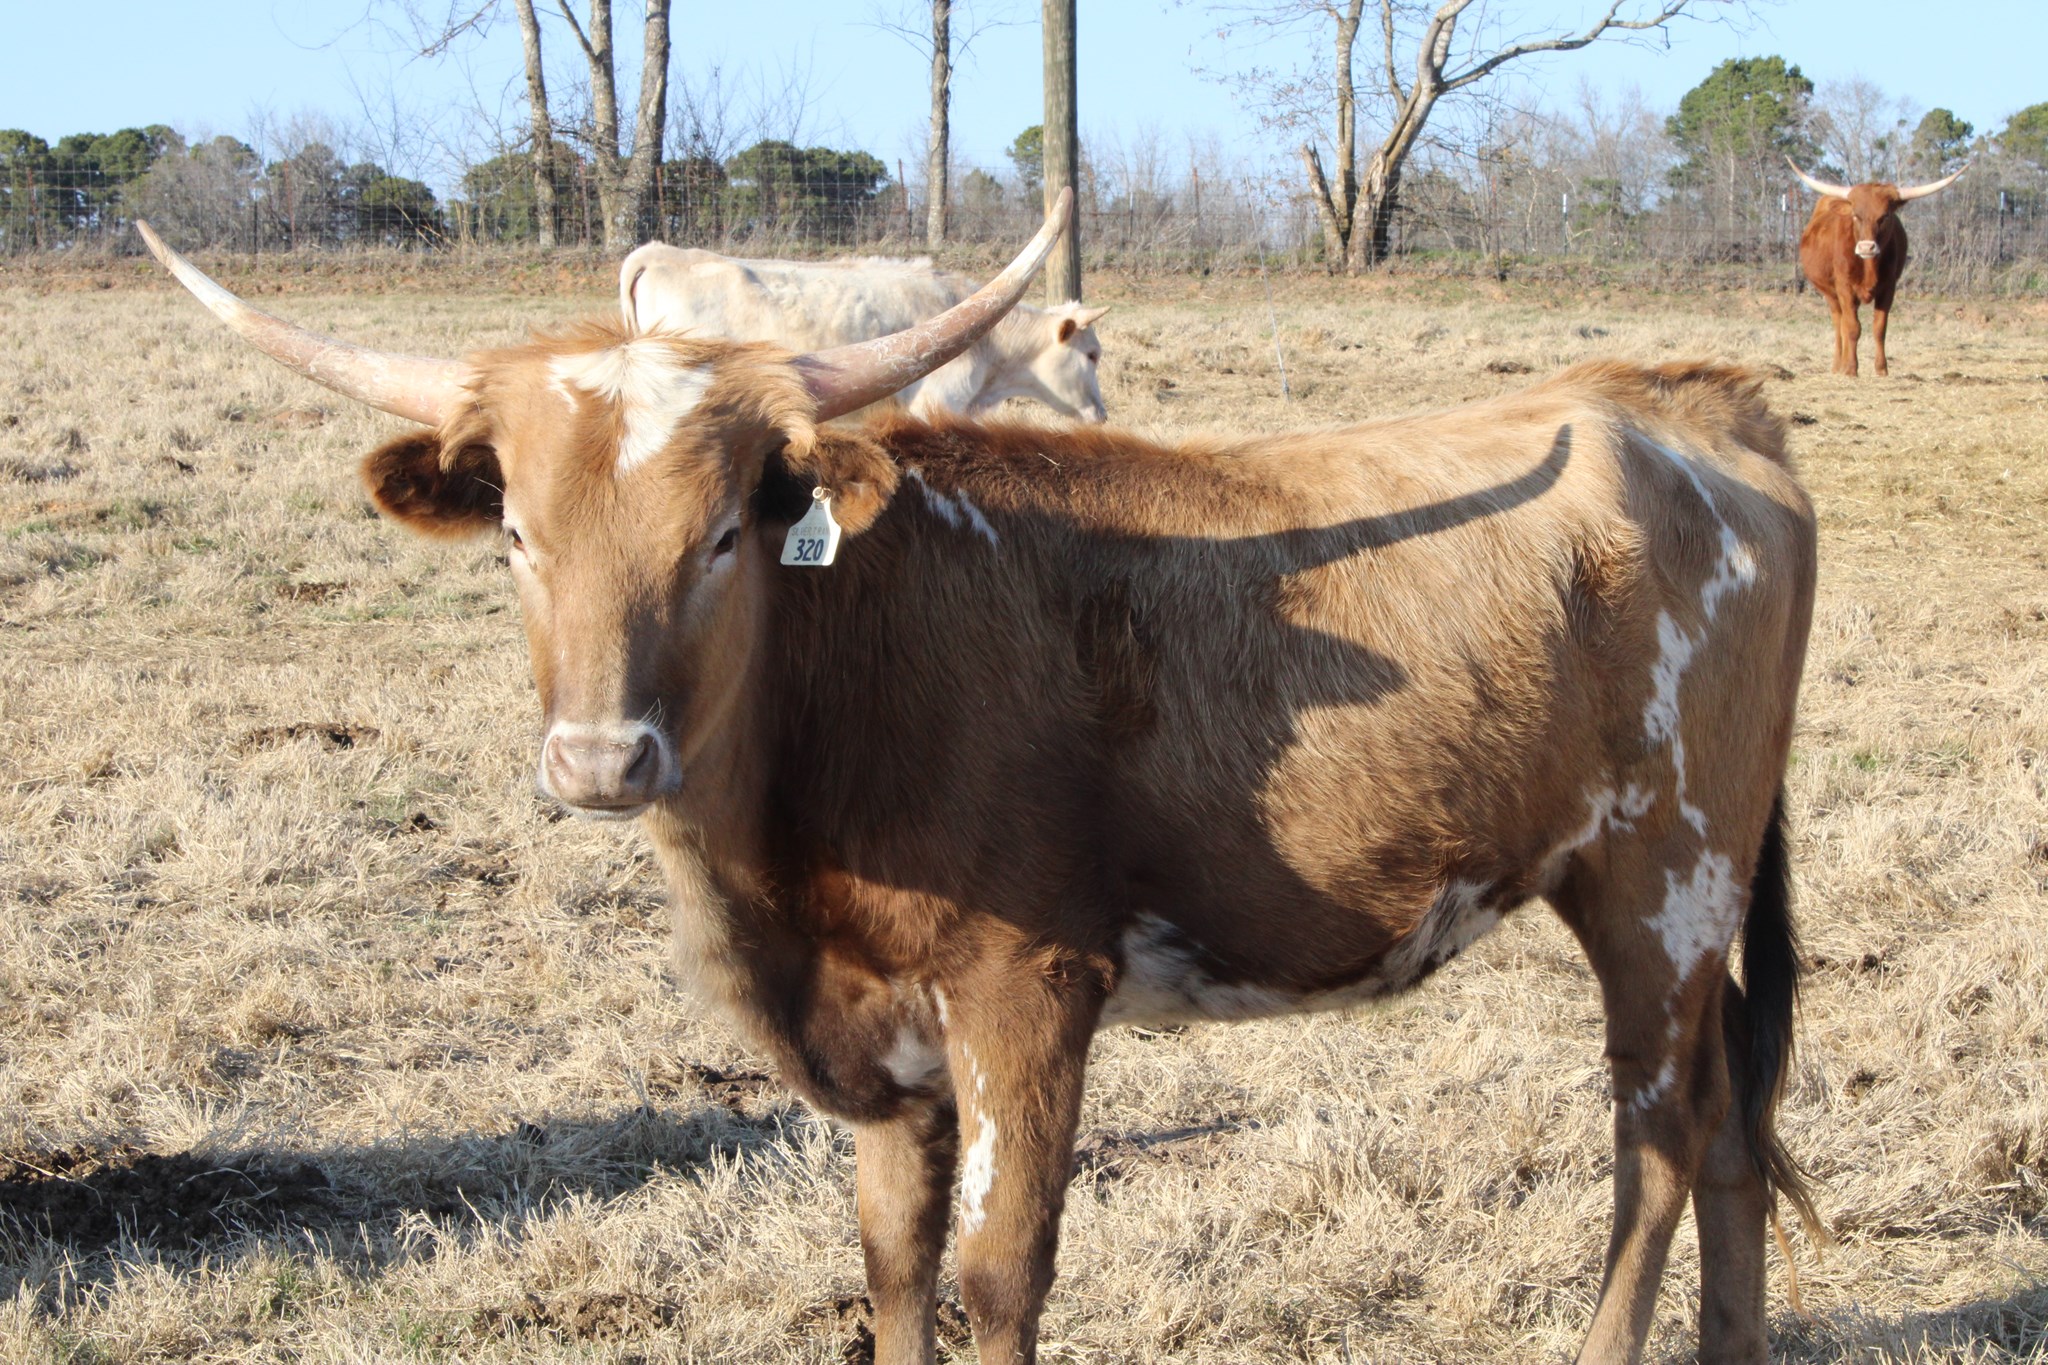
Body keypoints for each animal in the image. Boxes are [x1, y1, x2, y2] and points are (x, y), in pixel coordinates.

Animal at [1789, 156, 1966, 377]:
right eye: (1856, 215)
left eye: (1884, 216)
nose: (1866, 247)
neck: (1868, 266)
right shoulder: (1844, 288)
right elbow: (1852, 328)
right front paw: (1851, 369)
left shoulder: (1888, 288)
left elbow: (1879, 328)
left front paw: (1881, 369)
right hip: (1831, 295)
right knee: (1839, 323)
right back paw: (1838, 365)